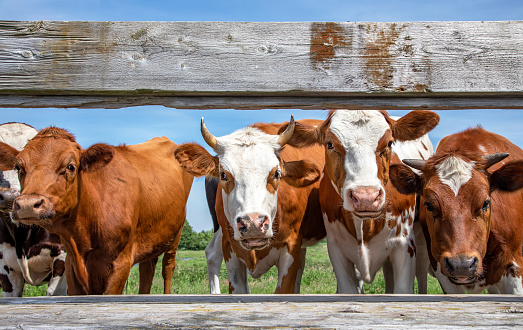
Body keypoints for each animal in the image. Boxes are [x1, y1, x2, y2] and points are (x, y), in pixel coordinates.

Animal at [175, 116, 328, 294]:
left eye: (276, 173)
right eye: (223, 174)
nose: (253, 223)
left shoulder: (292, 247)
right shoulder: (230, 247)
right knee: (212, 254)